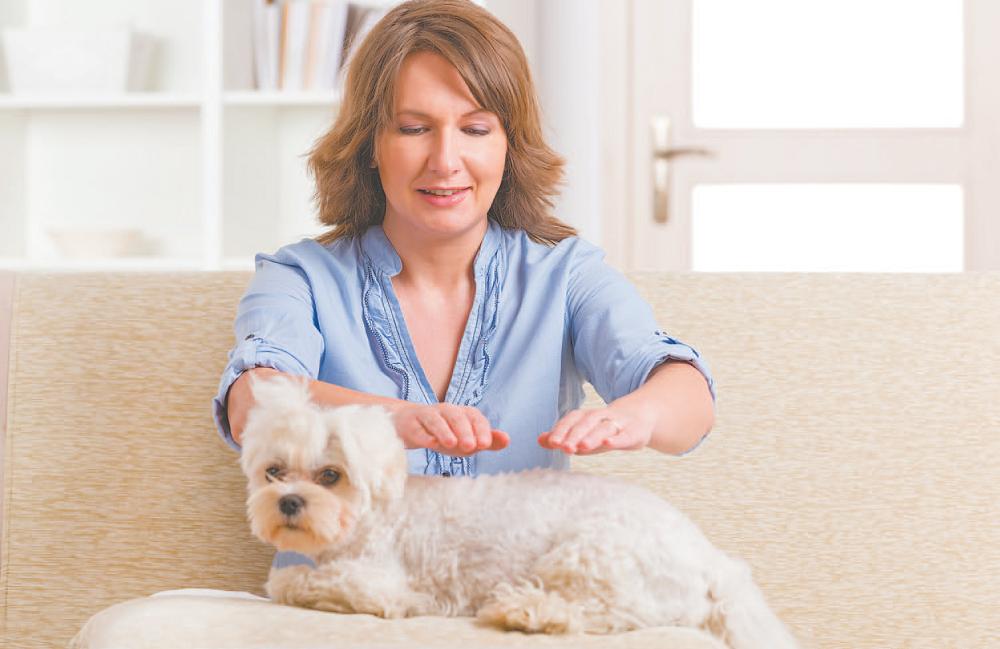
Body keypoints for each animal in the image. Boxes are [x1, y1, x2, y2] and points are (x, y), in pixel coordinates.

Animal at [238, 374, 799, 648]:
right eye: (274, 472)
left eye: (331, 476)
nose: (289, 501)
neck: (380, 513)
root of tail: (713, 562)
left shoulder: (379, 584)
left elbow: (288, 582)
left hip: (589, 557)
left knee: (610, 615)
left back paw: (528, 611)